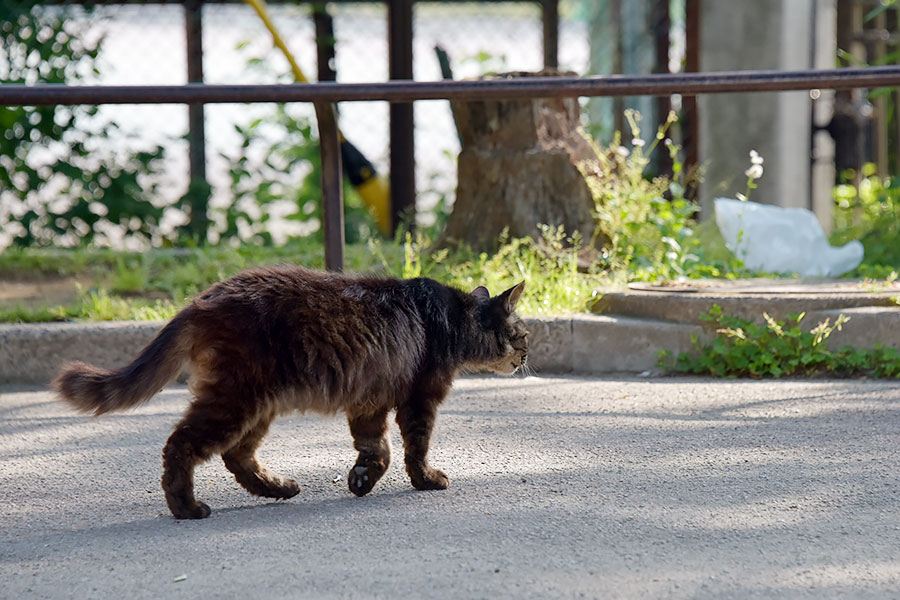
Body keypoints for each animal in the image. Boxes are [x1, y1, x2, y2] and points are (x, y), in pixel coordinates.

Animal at [54, 264, 528, 516]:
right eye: (522, 333)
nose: (526, 356)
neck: (454, 318)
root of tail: (201, 299)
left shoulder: (370, 401)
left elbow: (377, 448)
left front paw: (361, 479)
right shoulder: (420, 399)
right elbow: (415, 448)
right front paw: (427, 480)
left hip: (257, 406)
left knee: (237, 456)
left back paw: (278, 488)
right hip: (236, 401)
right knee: (181, 445)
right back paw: (187, 507)